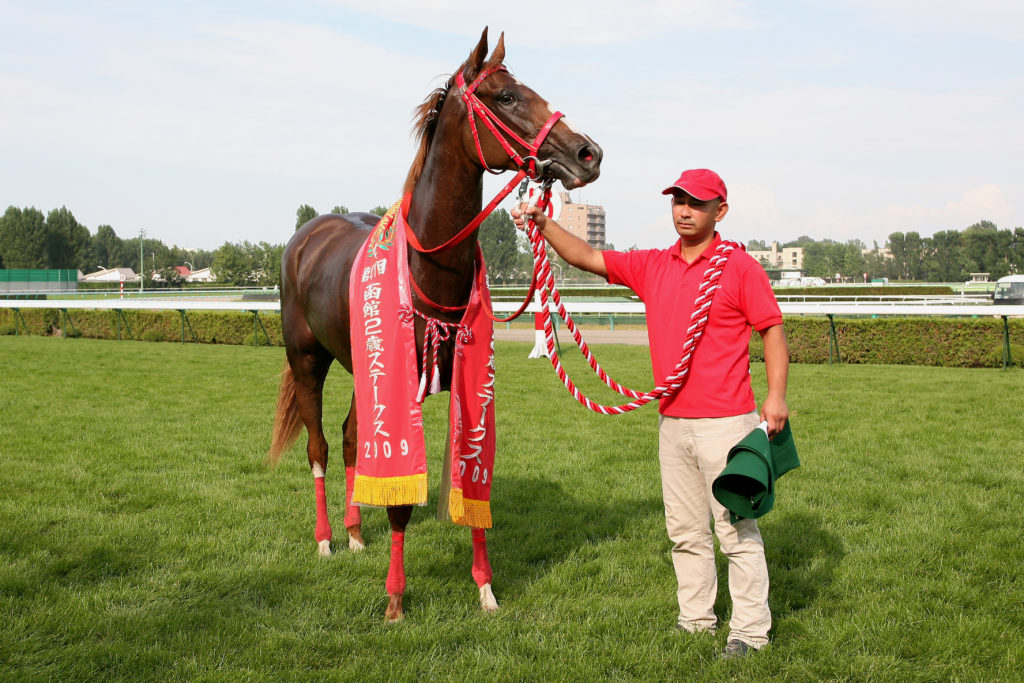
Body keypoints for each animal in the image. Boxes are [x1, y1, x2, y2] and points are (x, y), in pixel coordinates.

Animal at [268, 29, 602, 622]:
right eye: (506, 96)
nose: (588, 152)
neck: (430, 263)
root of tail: (305, 238)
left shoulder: (463, 377)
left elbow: (469, 484)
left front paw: (486, 588)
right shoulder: (401, 385)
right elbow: (401, 501)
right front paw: (396, 598)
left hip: (364, 364)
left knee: (353, 440)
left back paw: (355, 532)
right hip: (307, 358)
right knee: (321, 447)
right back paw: (327, 538)